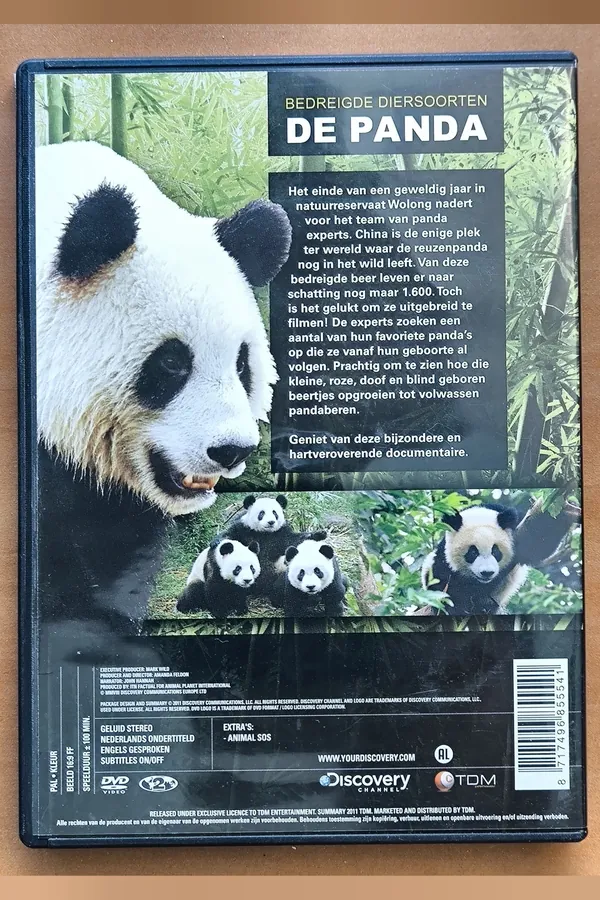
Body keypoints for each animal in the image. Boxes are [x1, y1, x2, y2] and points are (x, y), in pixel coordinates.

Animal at [420, 503, 572, 615]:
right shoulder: (443, 557)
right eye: (472, 552)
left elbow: (537, 544)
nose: (487, 573)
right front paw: (455, 606)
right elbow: (439, 579)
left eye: (495, 551)